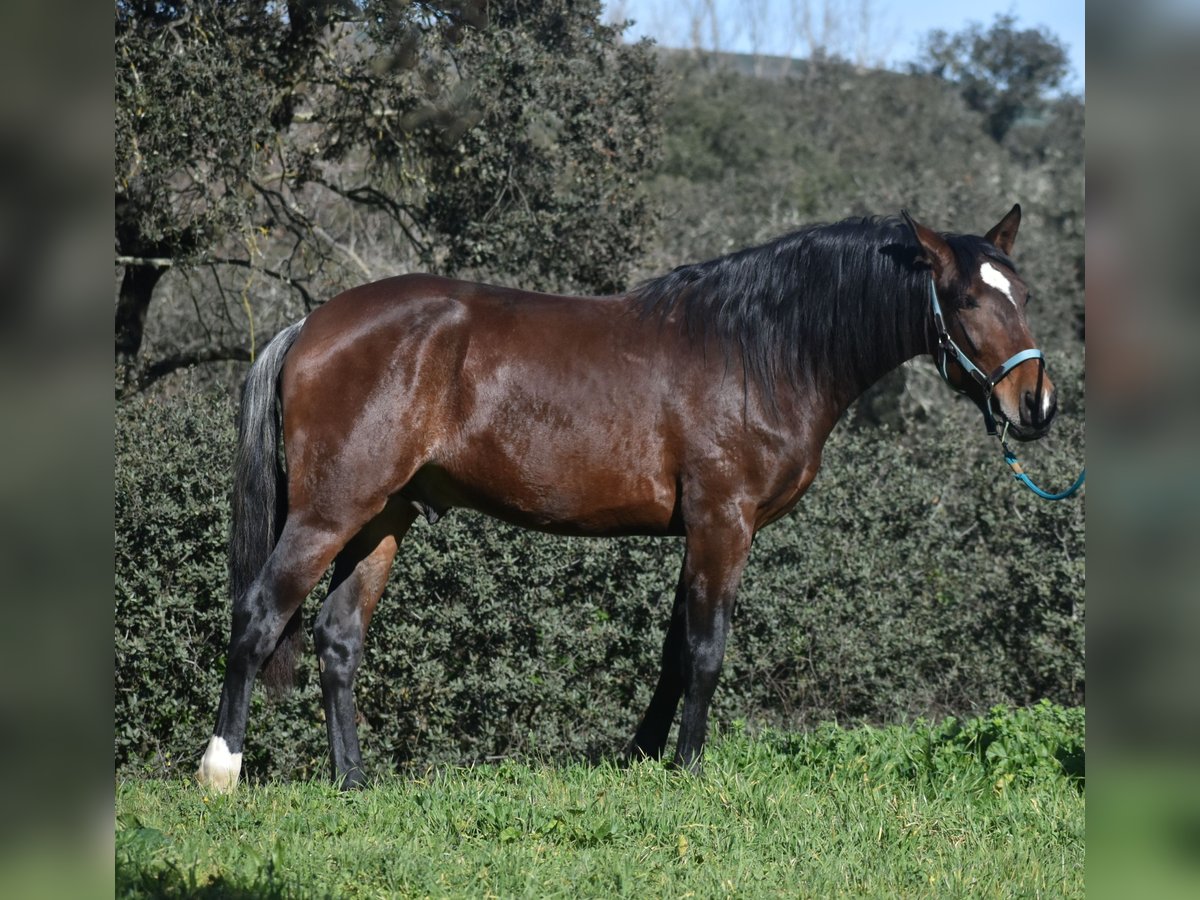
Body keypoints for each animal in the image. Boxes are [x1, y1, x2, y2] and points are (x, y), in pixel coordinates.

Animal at [196, 207, 1060, 792]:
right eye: (969, 301)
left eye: (1023, 292)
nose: (1036, 404)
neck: (760, 350)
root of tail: (311, 324)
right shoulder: (723, 522)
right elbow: (707, 650)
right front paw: (690, 768)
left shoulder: (700, 530)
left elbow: (676, 652)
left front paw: (645, 758)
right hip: (327, 514)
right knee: (259, 615)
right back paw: (221, 768)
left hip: (384, 516)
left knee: (340, 638)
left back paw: (353, 779)